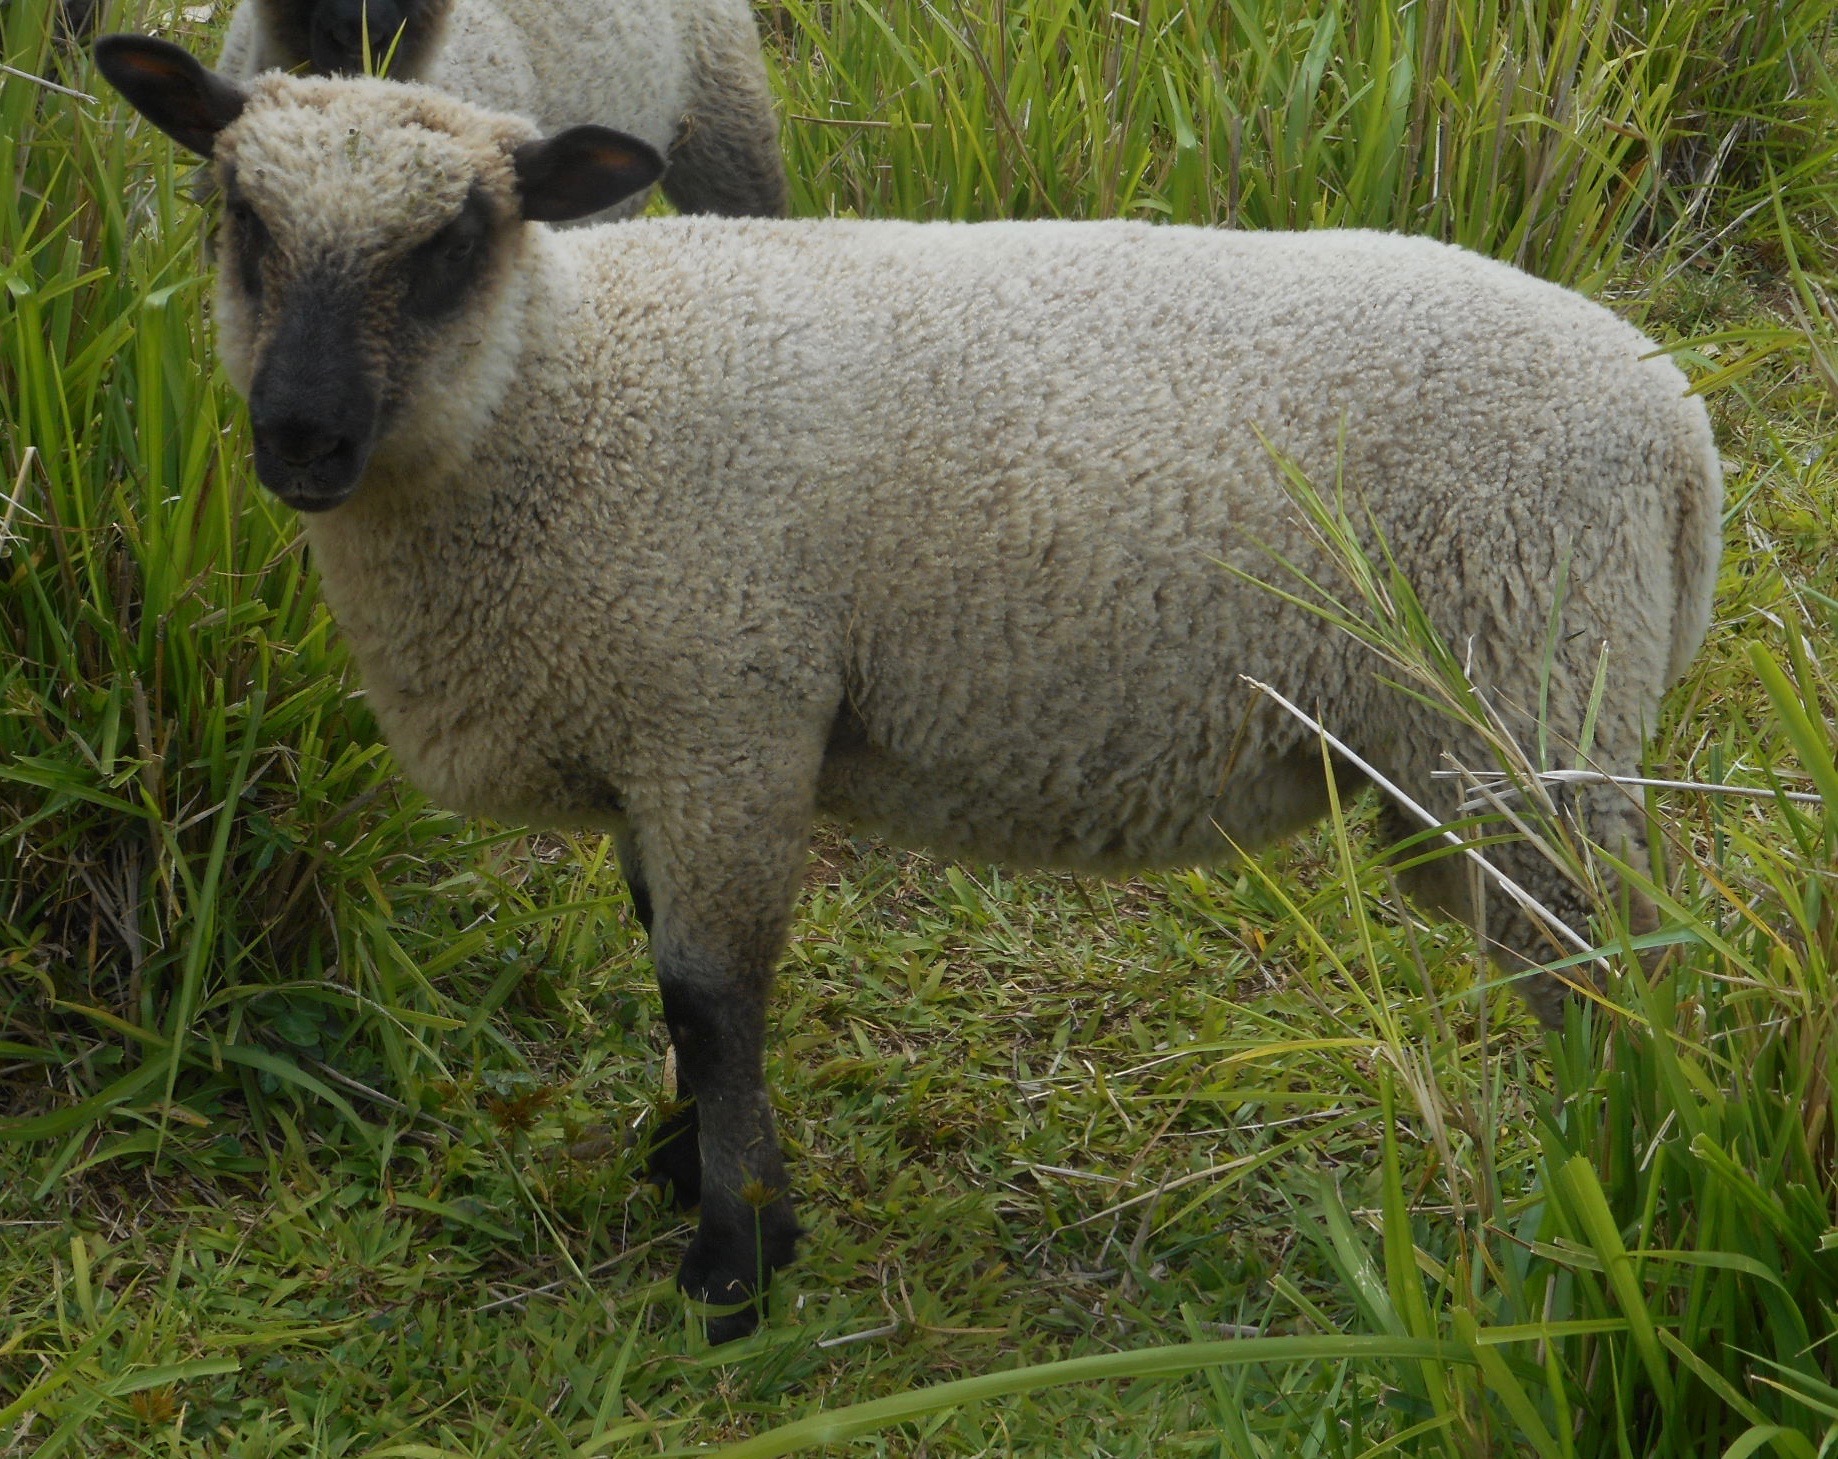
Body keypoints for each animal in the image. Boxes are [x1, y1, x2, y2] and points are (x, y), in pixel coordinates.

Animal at [86, 33, 1720, 1337]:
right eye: (239, 217)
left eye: (455, 240)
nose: (298, 438)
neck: (553, 396)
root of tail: (1672, 429)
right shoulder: (660, 731)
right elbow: (660, 965)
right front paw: (681, 1162)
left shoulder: (726, 714)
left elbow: (710, 994)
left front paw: (735, 1261)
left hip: (1523, 697)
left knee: (1610, 967)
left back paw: (1617, 1185)